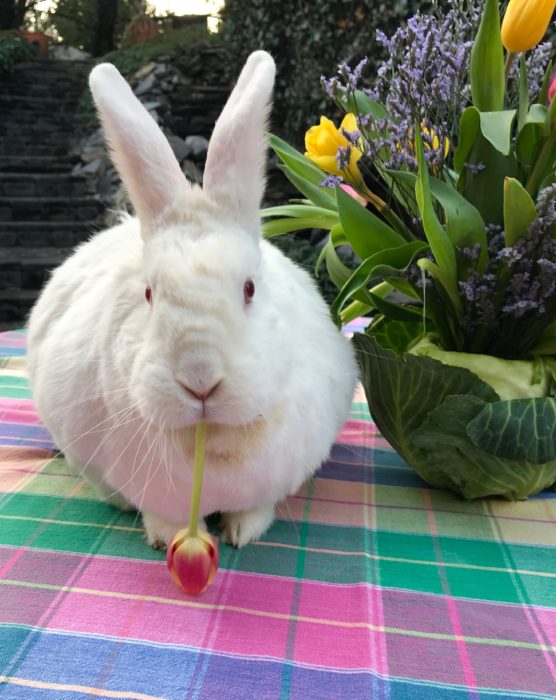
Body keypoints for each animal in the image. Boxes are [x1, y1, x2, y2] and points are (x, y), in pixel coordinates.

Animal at [26, 51, 358, 549]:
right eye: (148, 293)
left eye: (249, 288)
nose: (200, 382)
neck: (209, 438)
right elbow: (165, 518)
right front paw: (166, 538)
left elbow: (254, 508)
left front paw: (243, 534)